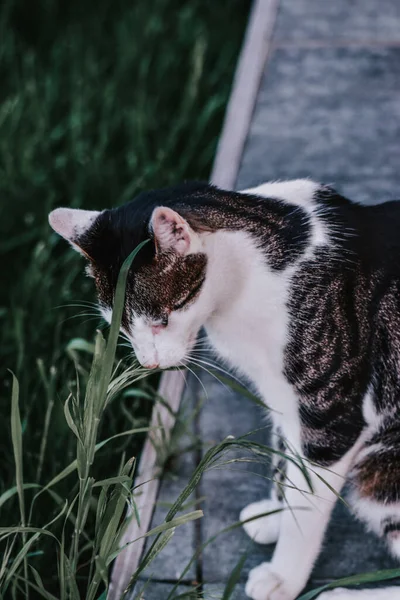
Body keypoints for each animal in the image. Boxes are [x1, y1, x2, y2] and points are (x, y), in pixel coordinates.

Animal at [48, 179, 400, 600]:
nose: (149, 364)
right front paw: (274, 515)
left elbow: (307, 501)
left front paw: (282, 575)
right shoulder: (282, 399)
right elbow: (285, 461)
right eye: (122, 326)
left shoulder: (330, 414)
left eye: (162, 319)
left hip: (380, 475)